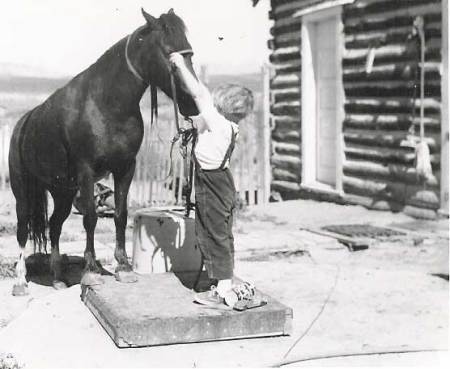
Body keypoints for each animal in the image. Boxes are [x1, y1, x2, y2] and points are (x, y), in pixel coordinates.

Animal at [8, 7, 199, 294]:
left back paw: (58, 277)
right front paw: (91, 272)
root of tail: (23, 123)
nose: (192, 103)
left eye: (190, 52)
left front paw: (124, 268)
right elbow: (90, 217)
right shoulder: (87, 172)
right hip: (23, 189)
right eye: (169, 53)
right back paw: (20, 282)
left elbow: (120, 215)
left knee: (54, 226)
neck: (105, 104)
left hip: (62, 191)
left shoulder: (125, 169)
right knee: (23, 227)